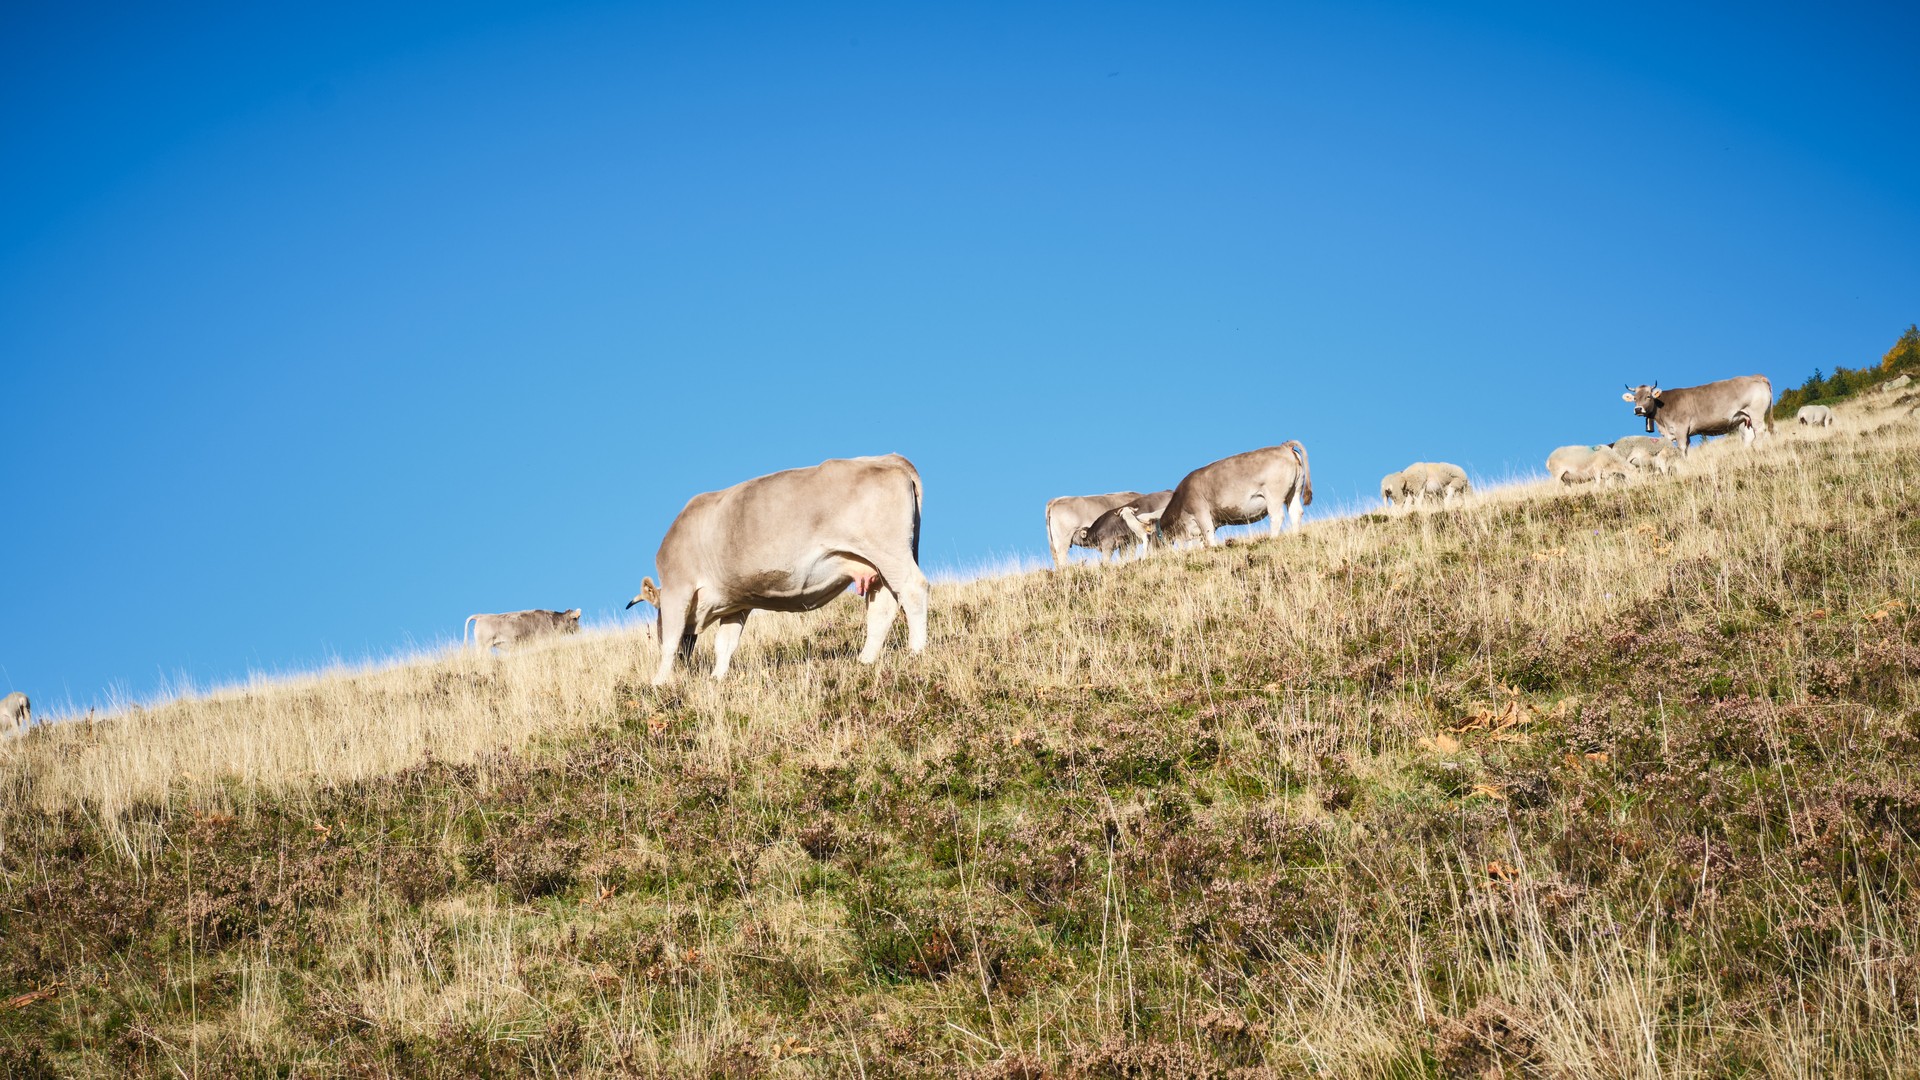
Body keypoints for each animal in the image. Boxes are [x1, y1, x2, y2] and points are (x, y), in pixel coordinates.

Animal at [627, 453, 928, 685]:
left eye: (658, 610)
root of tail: (888, 458)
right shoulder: (736, 602)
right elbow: (725, 645)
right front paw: (716, 679)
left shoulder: (678, 585)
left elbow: (671, 640)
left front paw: (658, 682)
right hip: (876, 566)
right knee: (883, 608)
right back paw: (865, 660)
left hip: (888, 551)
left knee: (913, 589)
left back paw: (916, 651)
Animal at [1154, 442, 1312, 547]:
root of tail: (1284, 446)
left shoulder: (1201, 512)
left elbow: (1209, 535)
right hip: (1294, 492)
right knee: (1296, 513)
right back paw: (1295, 535)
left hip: (1274, 495)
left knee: (1277, 516)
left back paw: (1272, 538)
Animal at [1621, 376, 1774, 456]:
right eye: (1634, 398)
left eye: (1648, 396)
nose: (1638, 409)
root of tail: (1756, 376)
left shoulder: (1681, 428)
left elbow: (1682, 447)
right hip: (1744, 418)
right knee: (1748, 436)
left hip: (1756, 413)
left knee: (1760, 431)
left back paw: (1759, 449)